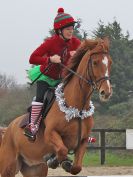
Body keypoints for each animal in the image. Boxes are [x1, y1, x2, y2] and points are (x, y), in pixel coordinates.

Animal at [0, 37, 112, 177]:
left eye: (110, 63)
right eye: (95, 62)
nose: (106, 92)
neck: (77, 109)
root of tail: (9, 128)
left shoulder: (82, 141)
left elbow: (76, 167)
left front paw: (59, 161)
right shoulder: (50, 134)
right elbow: (62, 150)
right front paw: (54, 160)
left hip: (35, 169)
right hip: (8, 166)